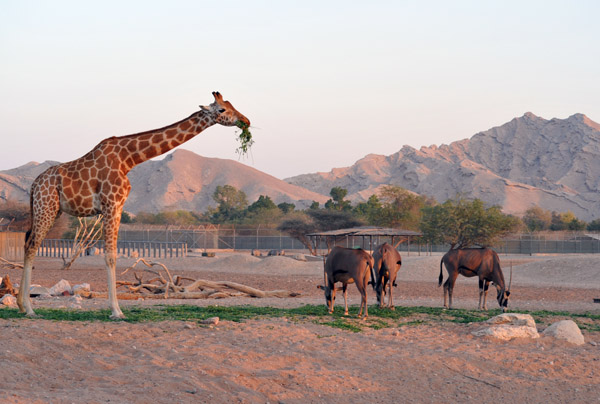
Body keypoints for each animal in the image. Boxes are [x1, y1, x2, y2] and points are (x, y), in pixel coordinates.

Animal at [17, 91, 250, 318]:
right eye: (222, 109)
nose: (245, 121)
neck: (129, 158)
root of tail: (34, 185)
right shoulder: (111, 203)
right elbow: (110, 256)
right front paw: (116, 311)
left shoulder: (119, 205)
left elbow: (114, 254)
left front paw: (116, 309)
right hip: (46, 207)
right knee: (32, 245)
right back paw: (29, 308)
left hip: (51, 210)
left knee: (28, 242)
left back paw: (21, 304)